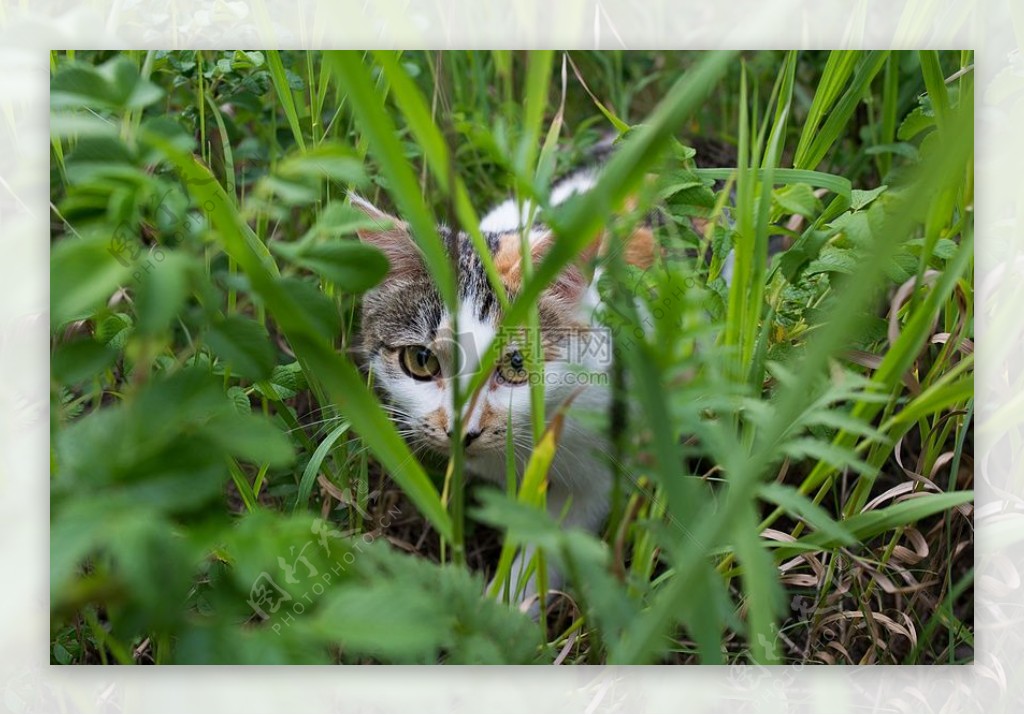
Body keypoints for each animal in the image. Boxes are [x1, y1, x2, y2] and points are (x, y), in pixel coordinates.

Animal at [350, 166, 655, 606]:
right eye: (421, 361)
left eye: (515, 365)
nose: (462, 430)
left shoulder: (605, 455)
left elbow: (552, 538)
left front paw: (507, 608)